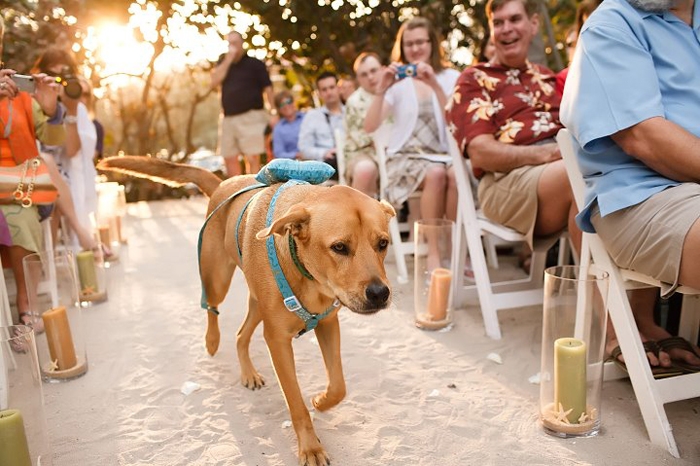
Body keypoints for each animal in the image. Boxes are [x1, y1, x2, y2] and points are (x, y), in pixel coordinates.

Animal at [96, 157, 396, 466]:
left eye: (383, 243)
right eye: (339, 247)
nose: (379, 294)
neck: (308, 275)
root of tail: (223, 183)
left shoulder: (327, 324)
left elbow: (338, 385)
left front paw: (322, 401)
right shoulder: (277, 340)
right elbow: (296, 404)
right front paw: (310, 447)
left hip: (257, 305)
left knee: (241, 335)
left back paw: (248, 373)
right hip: (218, 280)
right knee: (211, 307)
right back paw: (211, 341)